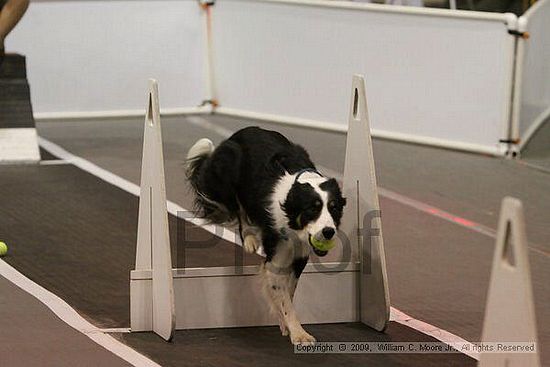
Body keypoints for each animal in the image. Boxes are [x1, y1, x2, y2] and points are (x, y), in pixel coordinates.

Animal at [188, 126, 348, 344]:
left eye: (334, 208)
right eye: (311, 210)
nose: (328, 232)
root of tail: (241, 132)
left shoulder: (300, 255)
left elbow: (289, 292)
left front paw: (285, 322)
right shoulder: (278, 256)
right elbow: (284, 298)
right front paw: (299, 333)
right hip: (228, 174)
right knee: (239, 210)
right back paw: (249, 239)